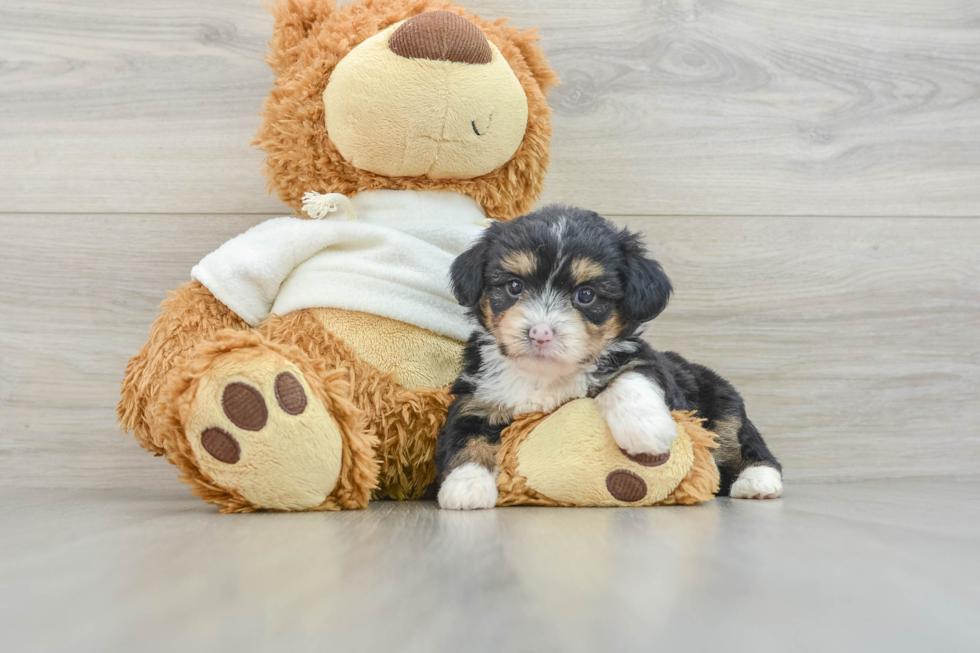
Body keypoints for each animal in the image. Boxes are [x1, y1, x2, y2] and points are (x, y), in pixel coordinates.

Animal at [434, 205, 780, 510]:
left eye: (586, 295)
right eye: (514, 286)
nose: (540, 334)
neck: (545, 376)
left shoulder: (645, 362)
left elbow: (631, 374)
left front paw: (645, 428)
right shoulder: (476, 397)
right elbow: (467, 440)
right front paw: (466, 485)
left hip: (724, 409)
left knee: (743, 444)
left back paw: (759, 481)